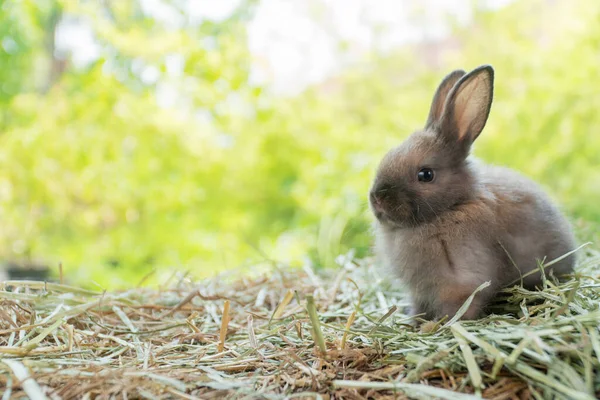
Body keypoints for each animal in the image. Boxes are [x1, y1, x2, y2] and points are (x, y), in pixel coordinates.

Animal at [368, 66, 580, 322]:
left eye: (426, 174)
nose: (377, 199)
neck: (453, 206)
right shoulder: (420, 292)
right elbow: (419, 307)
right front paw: (414, 321)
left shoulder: (463, 282)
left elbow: (458, 309)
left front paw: (434, 326)